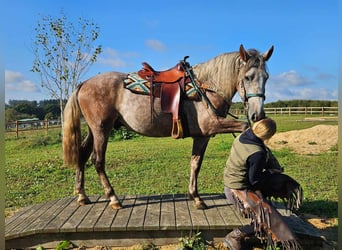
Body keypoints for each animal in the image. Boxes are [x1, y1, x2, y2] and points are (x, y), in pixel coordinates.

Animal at [62, 44, 274, 209]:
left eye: (266, 77)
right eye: (248, 77)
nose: (258, 114)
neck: (206, 88)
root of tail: (84, 83)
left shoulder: (202, 136)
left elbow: (195, 163)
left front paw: (195, 197)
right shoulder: (212, 126)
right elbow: (245, 127)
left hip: (94, 130)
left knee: (82, 154)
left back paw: (82, 195)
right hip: (101, 130)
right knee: (98, 161)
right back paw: (113, 198)